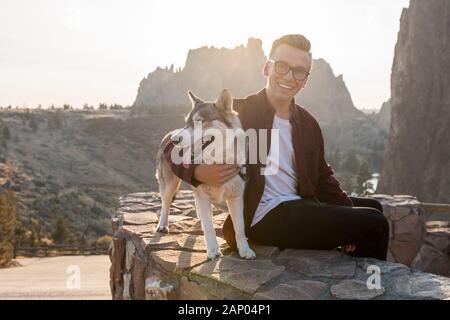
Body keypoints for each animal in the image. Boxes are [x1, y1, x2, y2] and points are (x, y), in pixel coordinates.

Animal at [155, 89, 255, 260]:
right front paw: (213, 251)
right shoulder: (203, 196)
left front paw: (245, 250)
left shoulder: (236, 197)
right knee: (165, 204)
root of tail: (169, 133)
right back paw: (162, 225)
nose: (174, 141)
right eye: (187, 122)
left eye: (199, 121)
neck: (219, 160)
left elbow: (240, 228)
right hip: (169, 186)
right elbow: (209, 227)